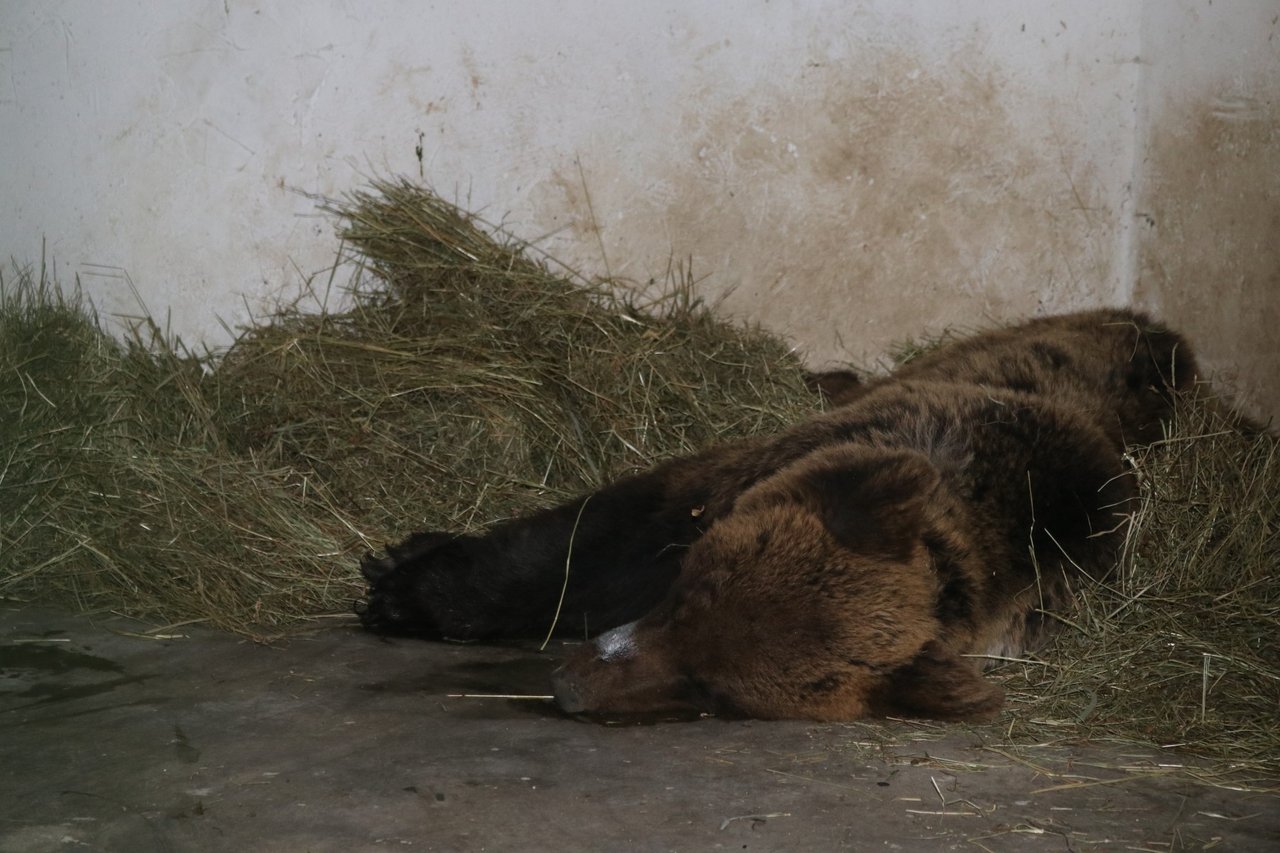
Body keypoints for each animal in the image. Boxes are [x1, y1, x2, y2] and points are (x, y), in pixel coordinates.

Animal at [353, 306, 1198, 717]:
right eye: (690, 593)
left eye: (714, 689)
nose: (569, 688)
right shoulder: (737, 481)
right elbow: (589, 541)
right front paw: (404, 582)